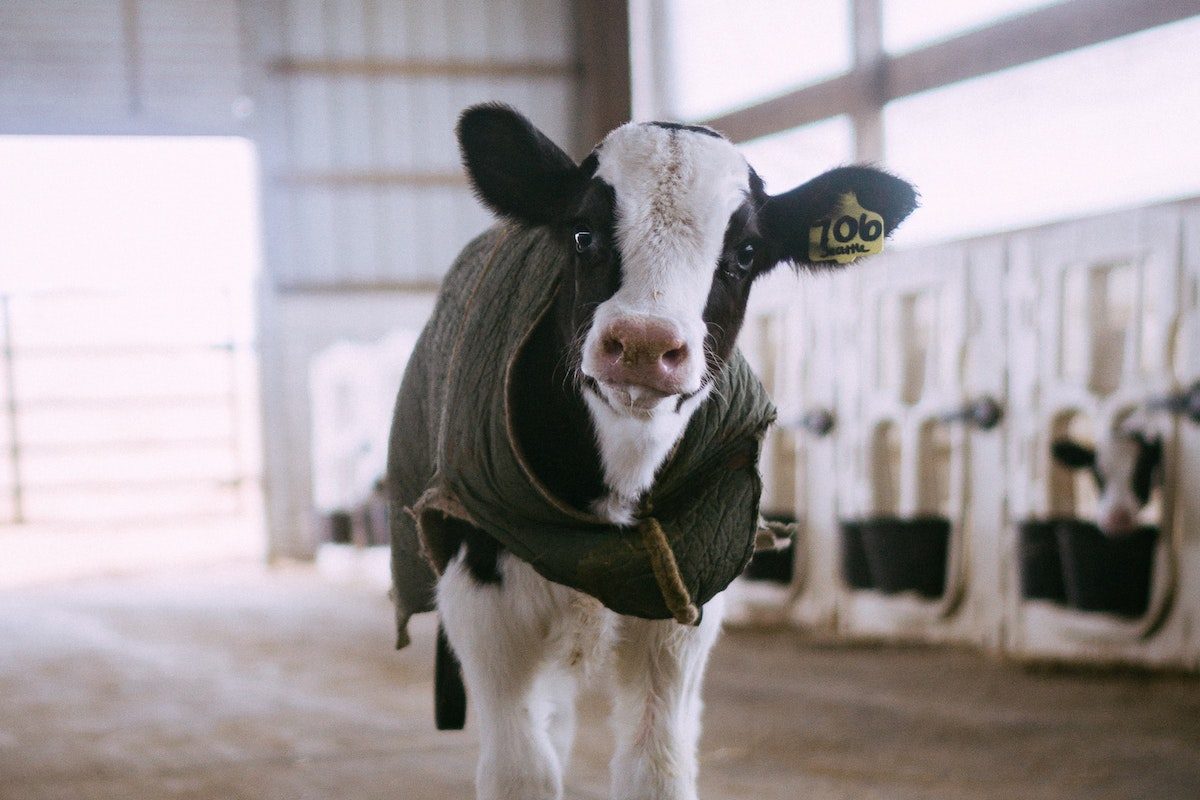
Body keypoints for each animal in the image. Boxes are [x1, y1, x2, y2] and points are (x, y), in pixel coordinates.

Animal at [387, 104, 917, 800]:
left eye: (746, 252)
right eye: (582, 232)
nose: (642, 343)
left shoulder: (686, 599)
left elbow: (657, 770)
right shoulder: (480, 591)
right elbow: (520, 771)